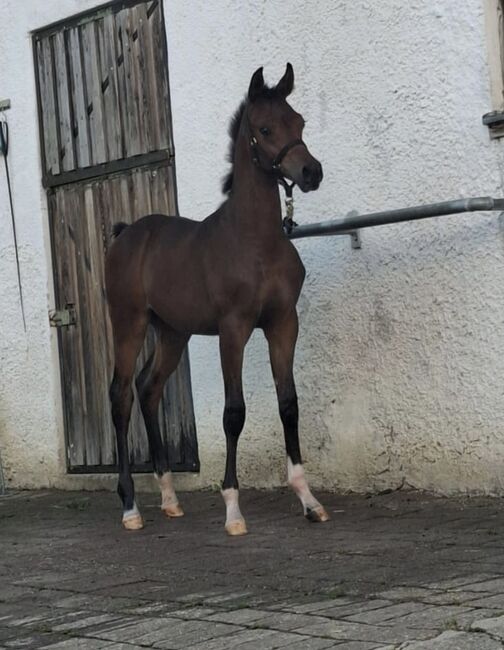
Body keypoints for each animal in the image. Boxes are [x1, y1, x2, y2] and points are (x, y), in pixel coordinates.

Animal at [104, 64, 328, 532]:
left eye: (299, 122)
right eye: (264, 128)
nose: (311, 172)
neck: (256, 241)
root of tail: (126, 233)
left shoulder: (283, 323)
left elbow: (289, 404)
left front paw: (308, 499)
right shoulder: (233, 329)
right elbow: (233, 413)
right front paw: (232, 509)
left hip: (172, 332)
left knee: (148, 388)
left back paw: (169, 497)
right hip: (129, 323)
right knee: (121, 396)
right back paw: (131, 506)